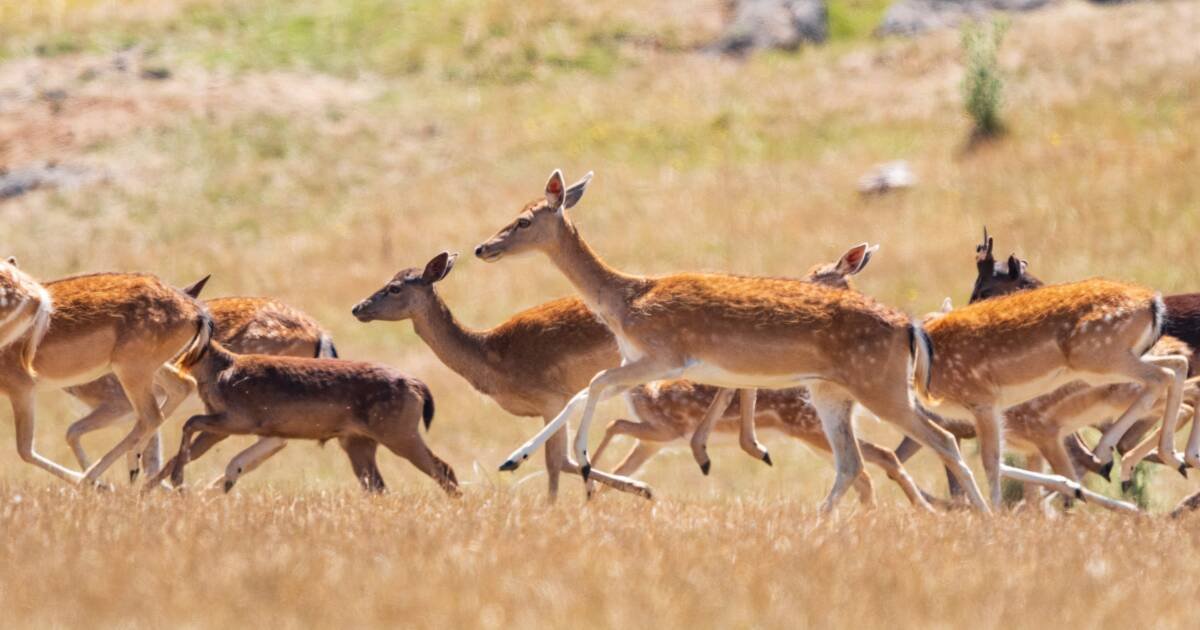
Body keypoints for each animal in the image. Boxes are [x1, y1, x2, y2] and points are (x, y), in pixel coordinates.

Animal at [1, 270, 210, 486]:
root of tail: (196, 313)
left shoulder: (21, 389)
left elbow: (24, 449)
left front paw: (99, 485)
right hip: (147, 369)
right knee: (182, 386)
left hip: (131, 370)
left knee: (151, 416)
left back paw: (95, 478)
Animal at [67, 283, 339, 489]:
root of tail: (322, 335)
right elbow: (147, 451)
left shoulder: (118, 403)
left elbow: (73, 432)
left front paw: (97, 483)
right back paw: (221, 482)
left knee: (276, 439)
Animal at [165, 335, 459, 496]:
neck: (220, 372)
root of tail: (418, 386)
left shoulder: (241, 418)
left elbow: (189, 422)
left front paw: (178, 482)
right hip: (359, 442)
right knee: (377, 486)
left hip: (399, 433)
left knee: (443, 468)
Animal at [472, 169, 992, 513]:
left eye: (523, 221)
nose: (482, 248)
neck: (627, 301)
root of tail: (910, 327)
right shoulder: (642, 362)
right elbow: (586, 389)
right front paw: (514, 460)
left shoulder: (665, 355)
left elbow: (594, 383)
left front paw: (578, 462)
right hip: (832, 392)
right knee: (852, 462)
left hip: (881, 387)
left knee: (942, 439)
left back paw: (985, 518)